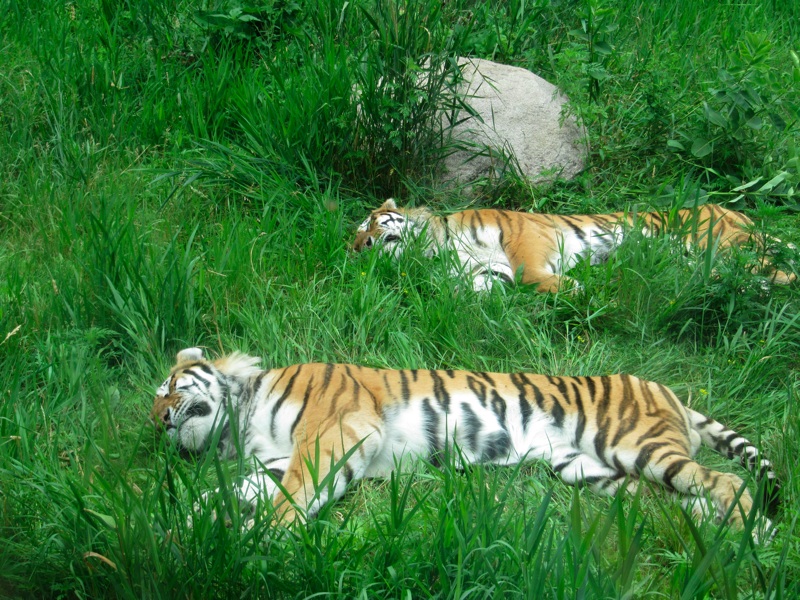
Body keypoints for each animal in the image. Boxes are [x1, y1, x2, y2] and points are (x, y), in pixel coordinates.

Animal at [152, 346, 780, 540]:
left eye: (170, 388)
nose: (159, 423)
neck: (240, 420)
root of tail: (669, 390)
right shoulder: (275, 460)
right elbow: (236, 491)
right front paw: (184, 524)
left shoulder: (335, 431)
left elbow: (295, 493)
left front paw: (268, 534)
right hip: (591, 470)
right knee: (674, 501)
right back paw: (716, 529)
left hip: (636, 444)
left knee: (728, 481)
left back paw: (748, 535)